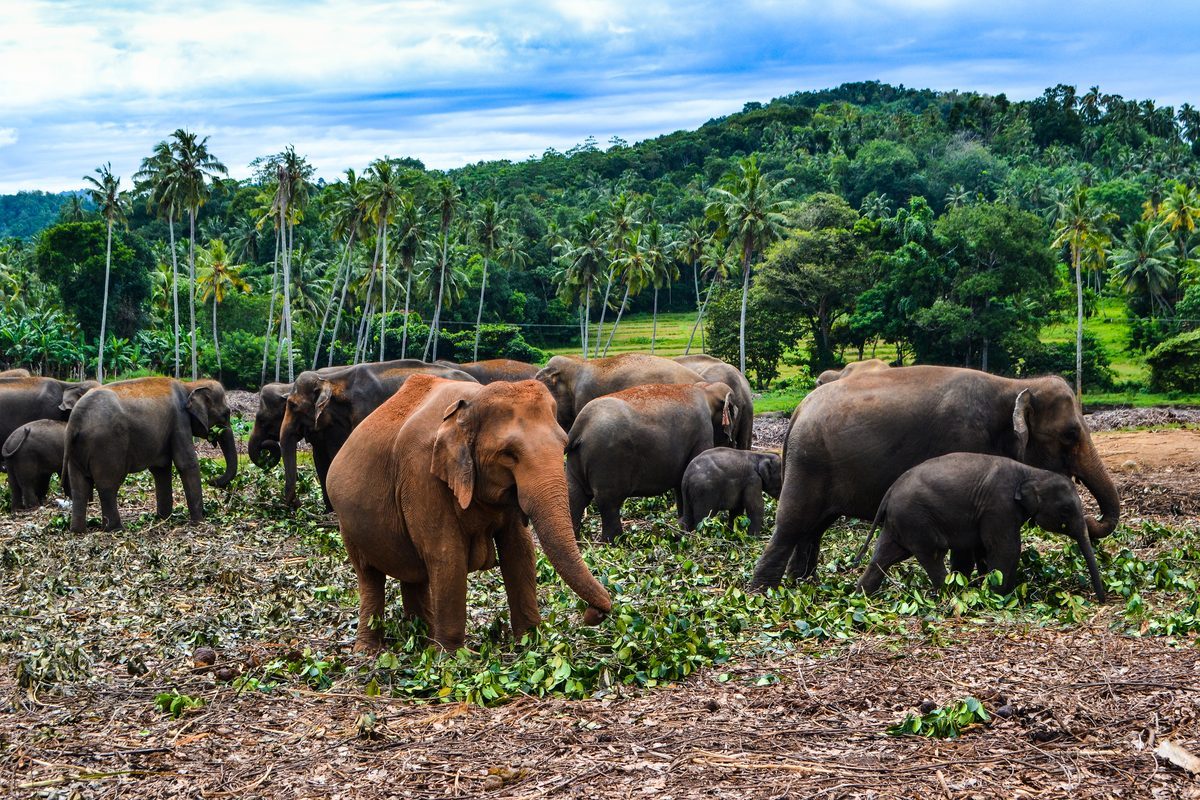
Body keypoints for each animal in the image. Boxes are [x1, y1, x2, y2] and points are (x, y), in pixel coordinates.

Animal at [66, 378, 238, 532]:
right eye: (226, 413)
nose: (212, 480)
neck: (189, 385)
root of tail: (75, 421)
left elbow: (161, 469)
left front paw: (164, 518)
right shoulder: (180, 420)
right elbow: (186, 463)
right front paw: (198, 523)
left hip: (77, 452)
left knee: (79, 487)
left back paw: (78, 530)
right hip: (107, 446)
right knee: (108, 485)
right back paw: (116, 529)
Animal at [280, 360, 478, 508]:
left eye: (293, 405)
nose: (296, 502)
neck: (332, 379)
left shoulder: (365, 411)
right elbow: (320, 457)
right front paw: (330, 511)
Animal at [326, 375, 612, 652]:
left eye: (564, 446)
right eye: (508, 454)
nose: (594, 613)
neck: (471, 401)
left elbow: (519, 550)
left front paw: (531, 644)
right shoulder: (421, 474)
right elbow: (447, 555)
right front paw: (452, 656)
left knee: (415, 575)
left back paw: (422, 642)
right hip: (347, 524)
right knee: (370, 577)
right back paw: (368, 650)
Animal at [566, 382, 737, 542]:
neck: (706, 389)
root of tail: (579, 426)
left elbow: (681, 484)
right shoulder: (703, 432)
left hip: (578, 458)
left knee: (575, 496)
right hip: (607, 460)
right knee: (609, 503)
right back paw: (614, 543)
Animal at [855, 453, 1105, 602]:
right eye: (1066, 510)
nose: (1101, 599)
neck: (1031, 471)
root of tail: (890, 491)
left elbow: (986, 550)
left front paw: (992, 588)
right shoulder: (999, 506)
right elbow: (1006, 548)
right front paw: (999, 596)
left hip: (899, 522)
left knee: (884, 556)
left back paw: (861, 597)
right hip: (916, 520)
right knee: (933, 554)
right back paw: (954, 596)